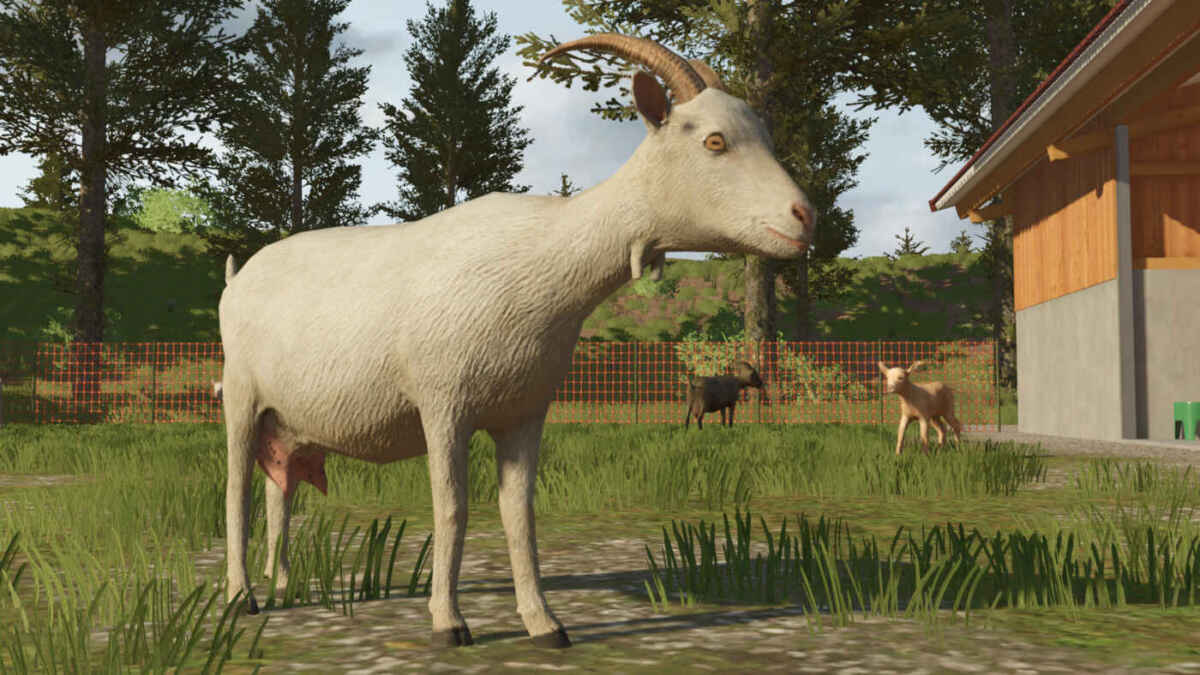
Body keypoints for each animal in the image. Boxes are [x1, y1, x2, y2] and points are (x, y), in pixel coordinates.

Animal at [218, 34, 816, 650]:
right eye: (715, 141)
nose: (806, 217)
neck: (540, 258)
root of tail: (237, 278)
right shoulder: (443, 405)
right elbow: (452, 509)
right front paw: (449, 622)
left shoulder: (525, 412)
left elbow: (519, 514)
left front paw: (544, 624)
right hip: (241, 395)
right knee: (237, 490)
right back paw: (243, 597)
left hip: (289, 421)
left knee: (280, 490)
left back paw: (283, 581)